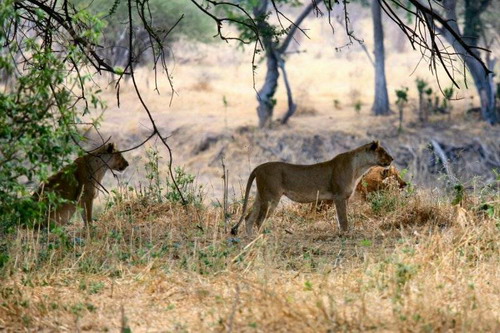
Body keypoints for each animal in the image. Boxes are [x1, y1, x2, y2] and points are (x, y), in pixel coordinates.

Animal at [229, 141, 390, 236]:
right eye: (383, 152)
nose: (392, 159)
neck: (359, 167)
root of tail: (258, 167)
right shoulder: (338, 196)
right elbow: (343, 219)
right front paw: (345, 234)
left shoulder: (345, 198)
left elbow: (343, 217)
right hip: (271, 197)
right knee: (259, 220)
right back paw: (261, 238)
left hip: (260, 195)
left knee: (249, 218)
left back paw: (250, 240)